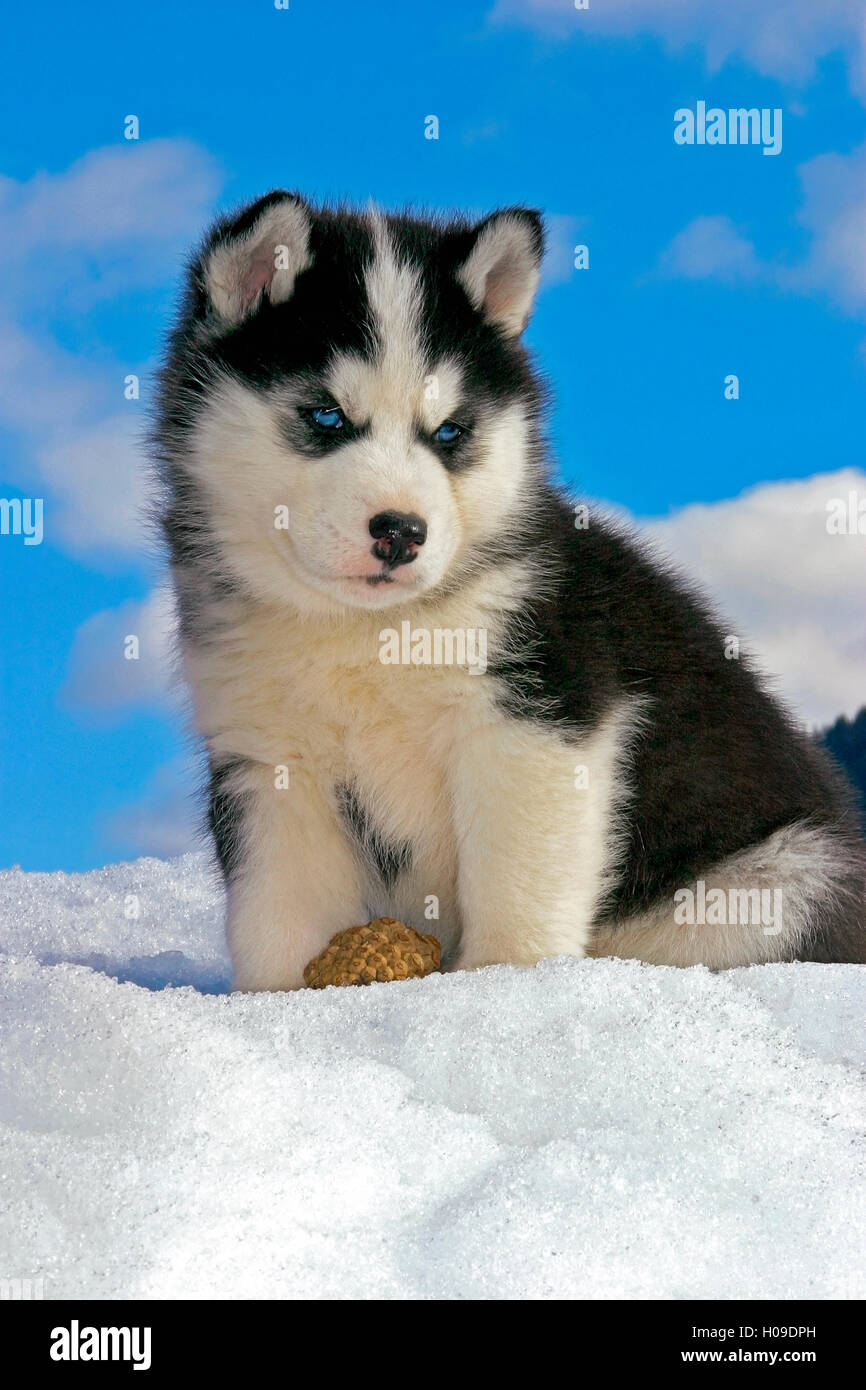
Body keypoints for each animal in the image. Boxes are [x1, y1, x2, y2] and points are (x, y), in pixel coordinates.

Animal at [155, 193, 866, 989]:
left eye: (449, 432)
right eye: (325, 414)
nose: (401, 531)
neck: (368, 632)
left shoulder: (536, 716)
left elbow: (519, 878)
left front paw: (506, 983)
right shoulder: (268, 757)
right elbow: (276, 911)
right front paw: (278, 1001)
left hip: (779, 882)